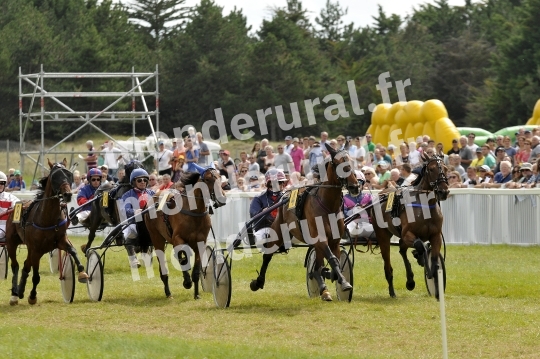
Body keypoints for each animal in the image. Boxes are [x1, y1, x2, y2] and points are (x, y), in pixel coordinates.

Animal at [5, 159, 88, 306]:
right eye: (55, 177)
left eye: (69, 174)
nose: (67, 194)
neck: (48, 218)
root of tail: (16, 205)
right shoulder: (36, 250)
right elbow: (36, 277)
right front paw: (32, 296)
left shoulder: (60, 240)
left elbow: (73, 251)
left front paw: (82, 273)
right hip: (11, 243)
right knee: (15, 265)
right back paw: (14, 294)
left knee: (26, 265)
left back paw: (20, 291)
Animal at [142, 169, 225, 300]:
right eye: (208, 179)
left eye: (219, 177)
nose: (222, 197)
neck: (194, 212)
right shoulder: (177, 239)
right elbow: (182, 257)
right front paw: (187, 282)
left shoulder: (200, 243)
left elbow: (196, 269)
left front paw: (196, 294)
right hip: (156, 237)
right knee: (163, 265)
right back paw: (168, 292)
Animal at [250, 143, 360, 300]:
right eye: (338, 163)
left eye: (351, 161)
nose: (354, 187)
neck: (328, 205)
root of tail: (284, 196)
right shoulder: (320, 238)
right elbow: (332, 259)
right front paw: (344, 282)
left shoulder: (334, 240)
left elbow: (334, 262)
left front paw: (334, 277)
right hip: (278, 230)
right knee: (267, 256)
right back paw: (258, 282)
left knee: (317, 265)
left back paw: (323, 288)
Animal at [370, 153, 450, 300]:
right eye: (431, 169)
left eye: (446, 169)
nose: (443, 191)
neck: (425, 207)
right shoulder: (408, 234)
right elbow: (419, 245)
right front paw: (422, 258)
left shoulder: (436, 236)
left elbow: (435, 261)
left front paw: (436, 287)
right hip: (383, 235)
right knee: (388, 265)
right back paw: (393, 291)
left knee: (402, 250)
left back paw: (410, 280)